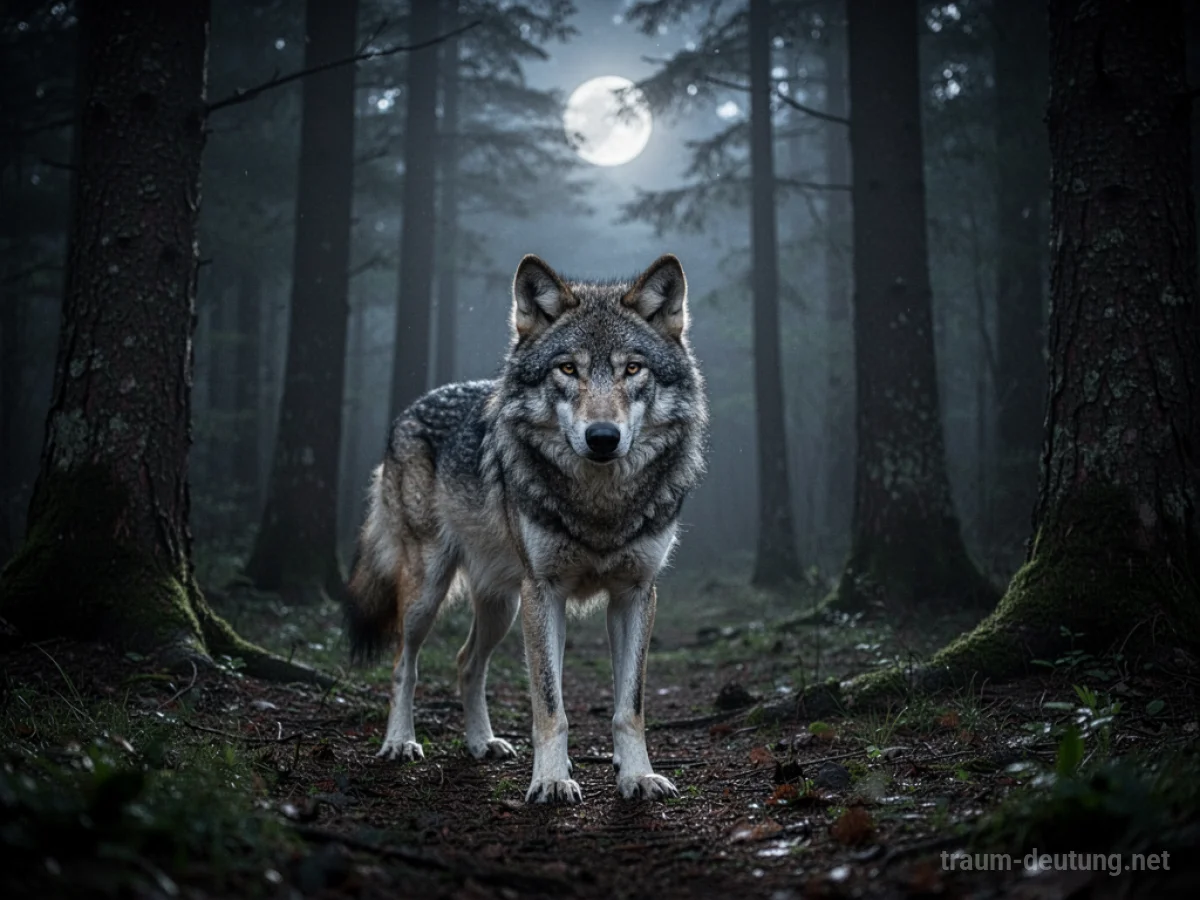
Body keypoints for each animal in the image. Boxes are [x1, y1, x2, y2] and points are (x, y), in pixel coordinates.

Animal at [344, 253, 708, 804]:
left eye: (632, 368)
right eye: (568, 368)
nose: (603, 437)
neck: (600, 505)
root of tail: (409, 410)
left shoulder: (635, 594)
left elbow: (630, 706)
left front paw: (637, 775)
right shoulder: (546, 592)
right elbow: (550, 706)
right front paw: (552, 780)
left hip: (503, 606)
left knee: (466, 662)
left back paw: (482, 743)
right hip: (431, 592)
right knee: (404, 664)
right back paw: (400, 742)